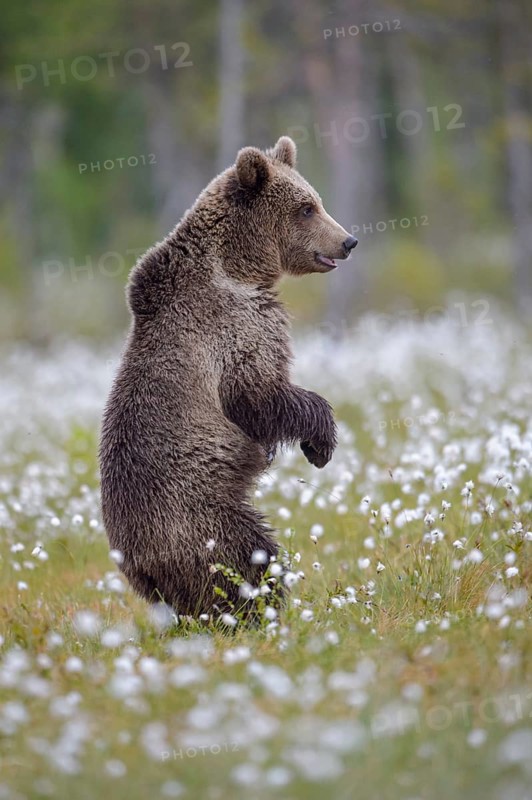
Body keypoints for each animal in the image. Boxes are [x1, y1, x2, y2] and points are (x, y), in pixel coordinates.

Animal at [99, 135, 358, 621]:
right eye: (306, 207)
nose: (349, 240)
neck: (238, 267)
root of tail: (140, 566)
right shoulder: (233, 330)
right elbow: (258, 395)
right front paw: (320, 441)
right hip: (198, 512)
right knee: (248, 554)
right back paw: (264, 606)